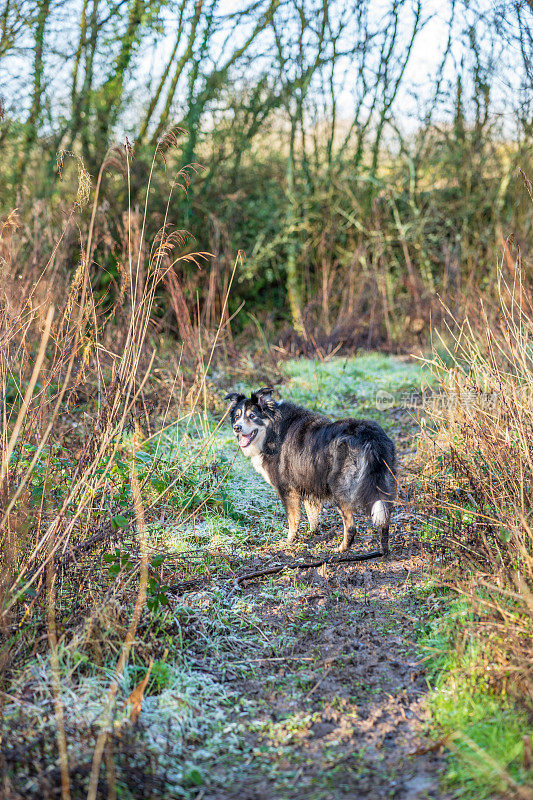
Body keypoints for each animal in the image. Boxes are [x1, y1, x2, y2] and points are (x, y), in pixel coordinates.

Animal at [224, 390, 394, 552]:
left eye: (252, 416)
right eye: (237, 416)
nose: (236, 428)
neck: (272, 430)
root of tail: (369, 437)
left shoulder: (287, 489)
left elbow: (293, 519)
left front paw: (290, 540)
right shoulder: (307, 482)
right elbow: (312, 515)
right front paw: (312, 533)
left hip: (339, 490)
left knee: (351, 526)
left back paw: (341, 549)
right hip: (383, 485)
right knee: (384, 519)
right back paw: (384, 551)